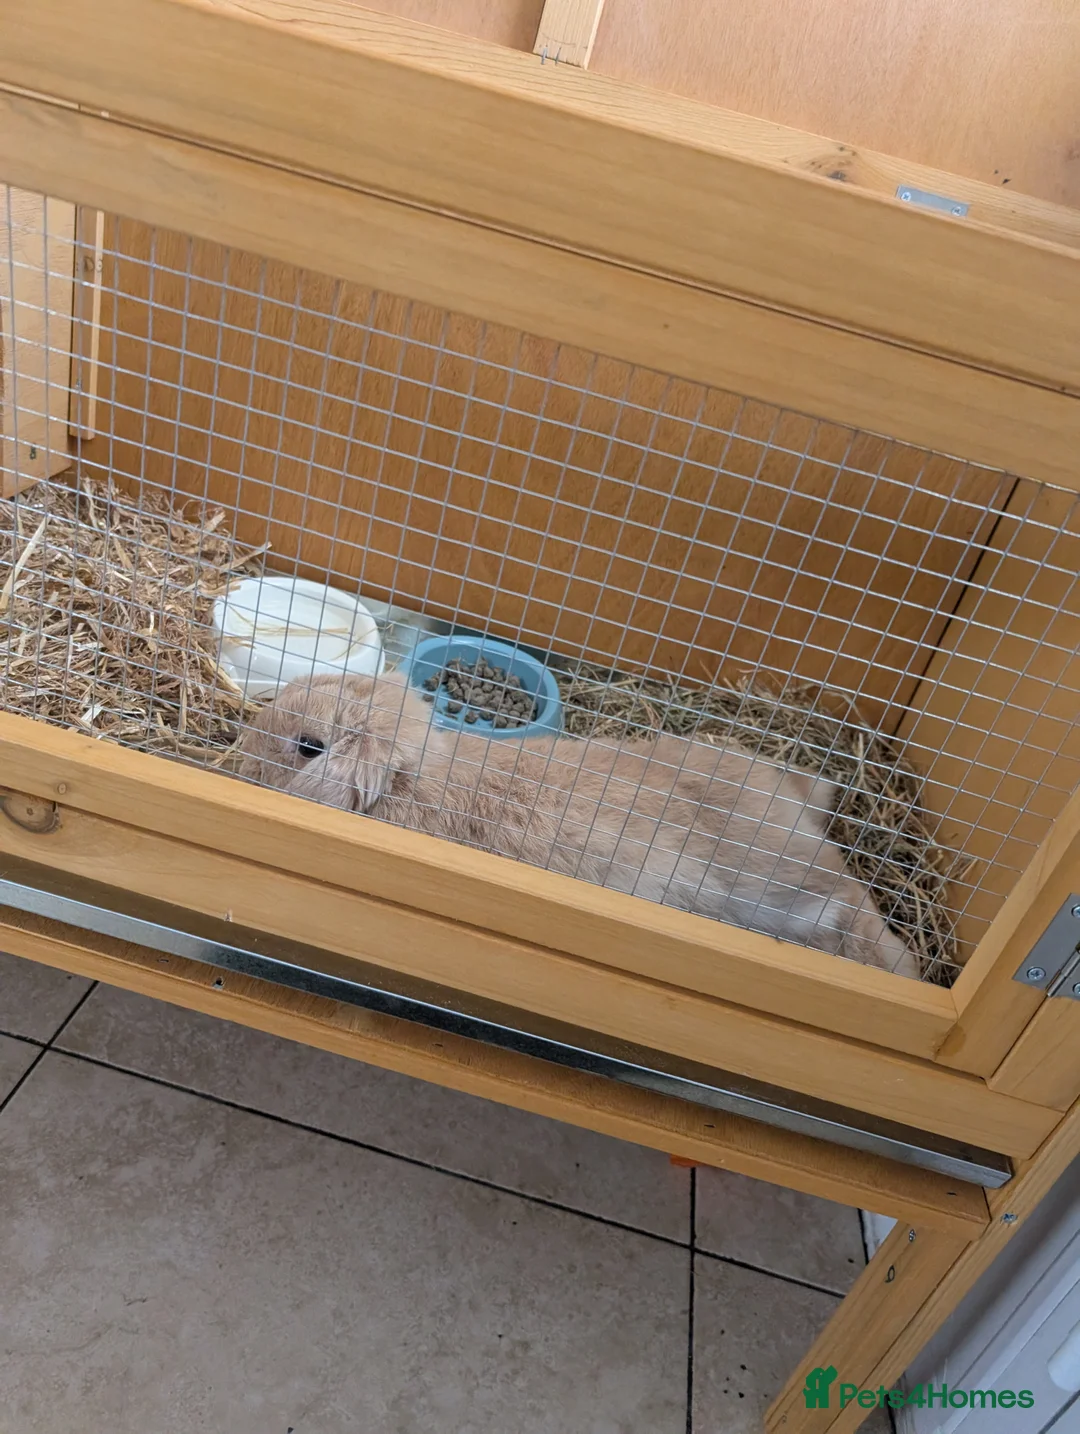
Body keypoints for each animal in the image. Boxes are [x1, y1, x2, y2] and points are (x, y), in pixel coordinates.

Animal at [239, 671, 920, 978]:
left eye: (308, 747)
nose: (242, 757)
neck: (414, 778)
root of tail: (797, 793)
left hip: (766, 875)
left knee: (853, 906)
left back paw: (898, 968)